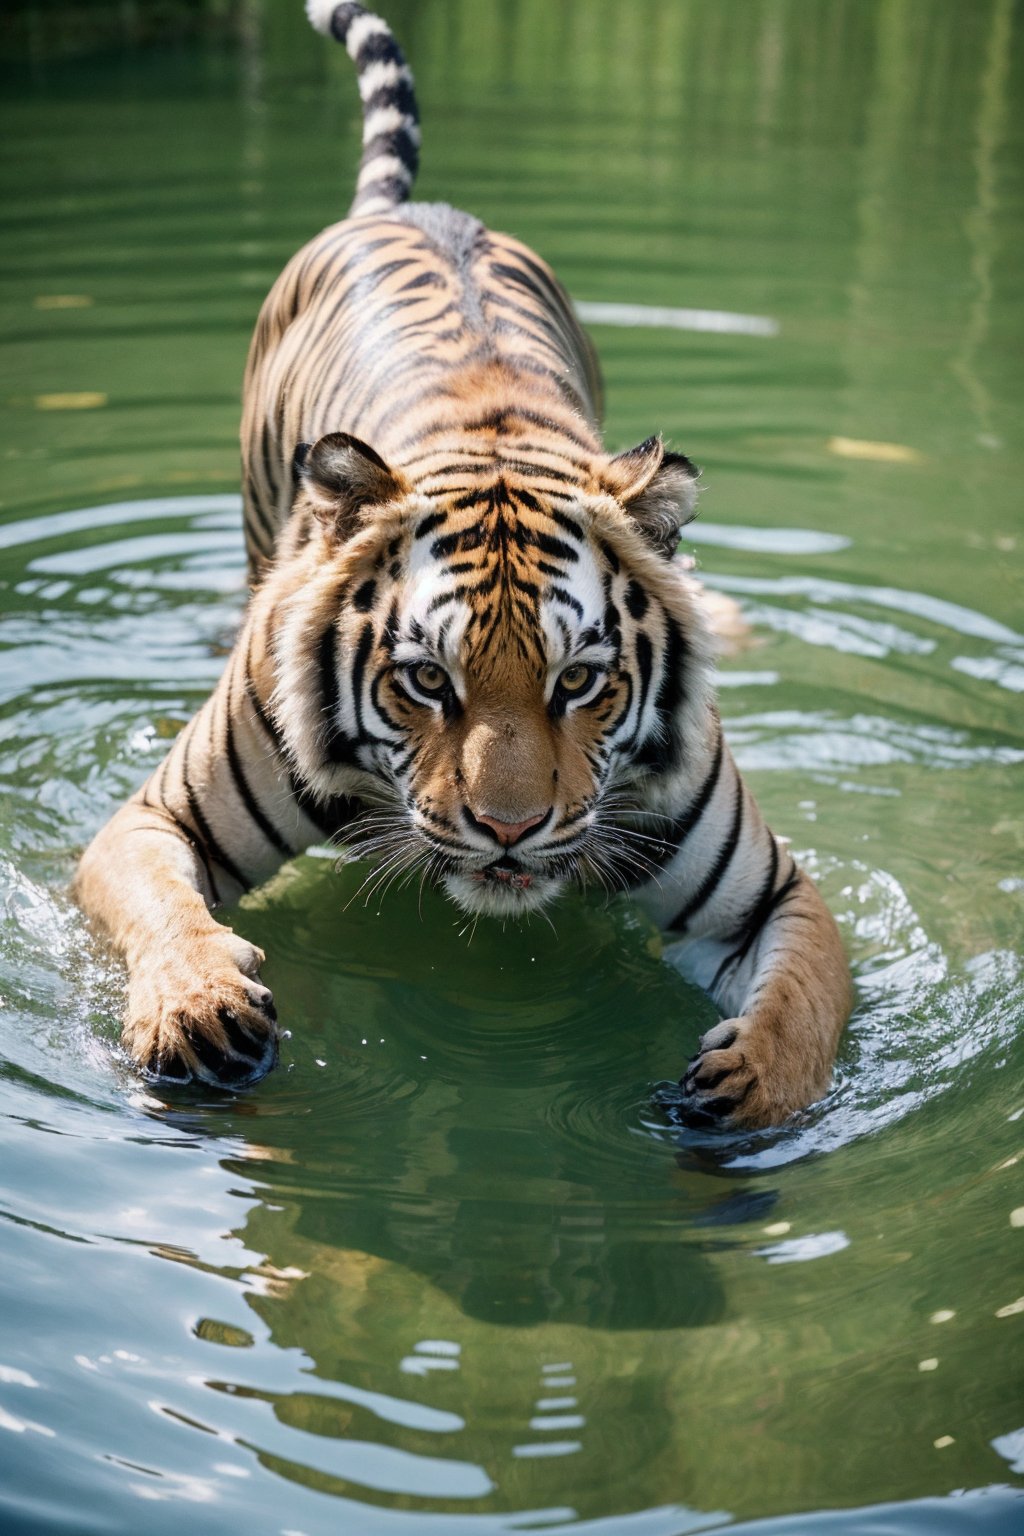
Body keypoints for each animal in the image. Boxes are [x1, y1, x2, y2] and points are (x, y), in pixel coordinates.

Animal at [74, 0, 847, 1130]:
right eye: (426, 680)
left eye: (581, 681)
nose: (509, 831)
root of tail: (412, 208)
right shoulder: (152, 821)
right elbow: (163, 912)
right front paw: (197, 1007)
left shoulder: (773, 891)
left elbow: (808, 993)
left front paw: (751, 1093)